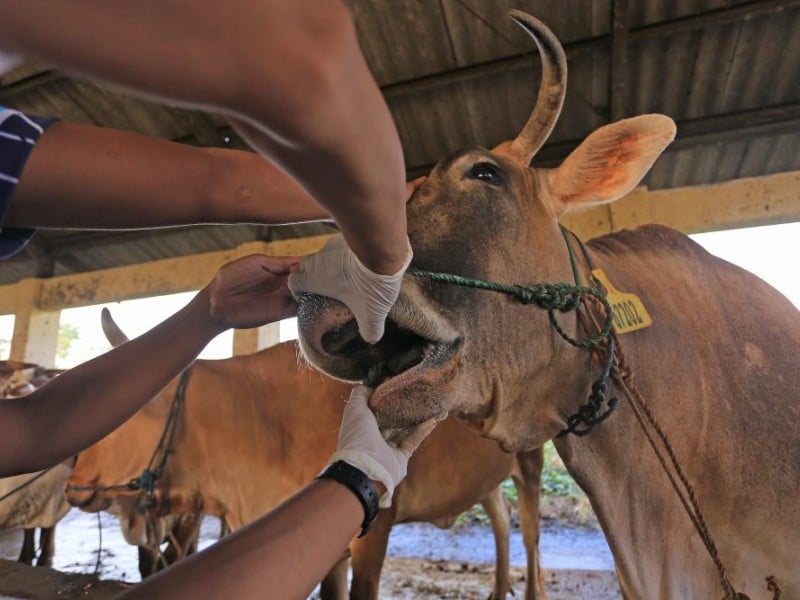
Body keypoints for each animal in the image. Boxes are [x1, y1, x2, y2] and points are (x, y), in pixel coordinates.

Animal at [67, 314, 544, 600]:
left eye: (125, 413)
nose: (73, 485)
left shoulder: (374, 527)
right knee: (501, 520)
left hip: (531, 459)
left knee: (529, 531)